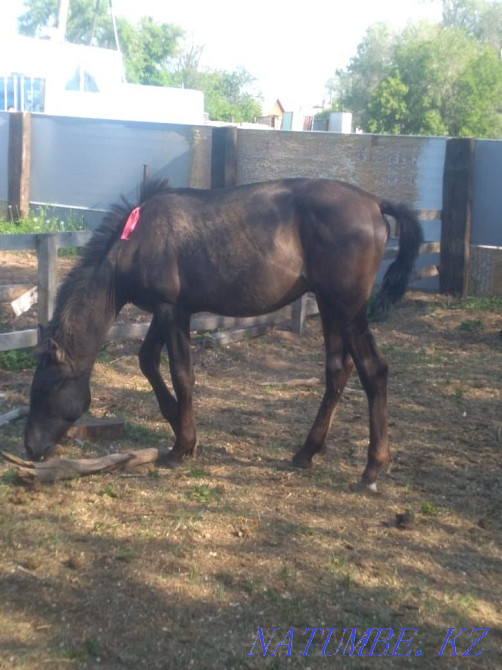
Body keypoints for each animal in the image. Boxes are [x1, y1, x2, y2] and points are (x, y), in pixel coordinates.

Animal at [24, 178, 423, 491]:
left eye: (45, 388)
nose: (30, 448)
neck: (135, 241)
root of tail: (374, 202)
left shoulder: (171, 311)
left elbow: (181, 373)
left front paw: (181, 446)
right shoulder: (170, 311)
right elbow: (147, 360)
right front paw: (178, 425)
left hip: (348, 310)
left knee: (373, 370)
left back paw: (372, 468)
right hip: (329, 307)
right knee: (338, 370)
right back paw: (307, 452)